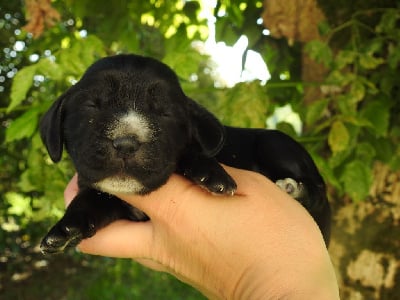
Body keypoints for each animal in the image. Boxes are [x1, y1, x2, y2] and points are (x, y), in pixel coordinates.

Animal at [39, 54, 332, 253]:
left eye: (165, 113)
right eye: (92, 105)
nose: (126, 143)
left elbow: (188, 153)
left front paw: (211, 174)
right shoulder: (108, 197)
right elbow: (89, 201)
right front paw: (65, 229)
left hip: (274, 143)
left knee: (318, 190)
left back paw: (293, 188)